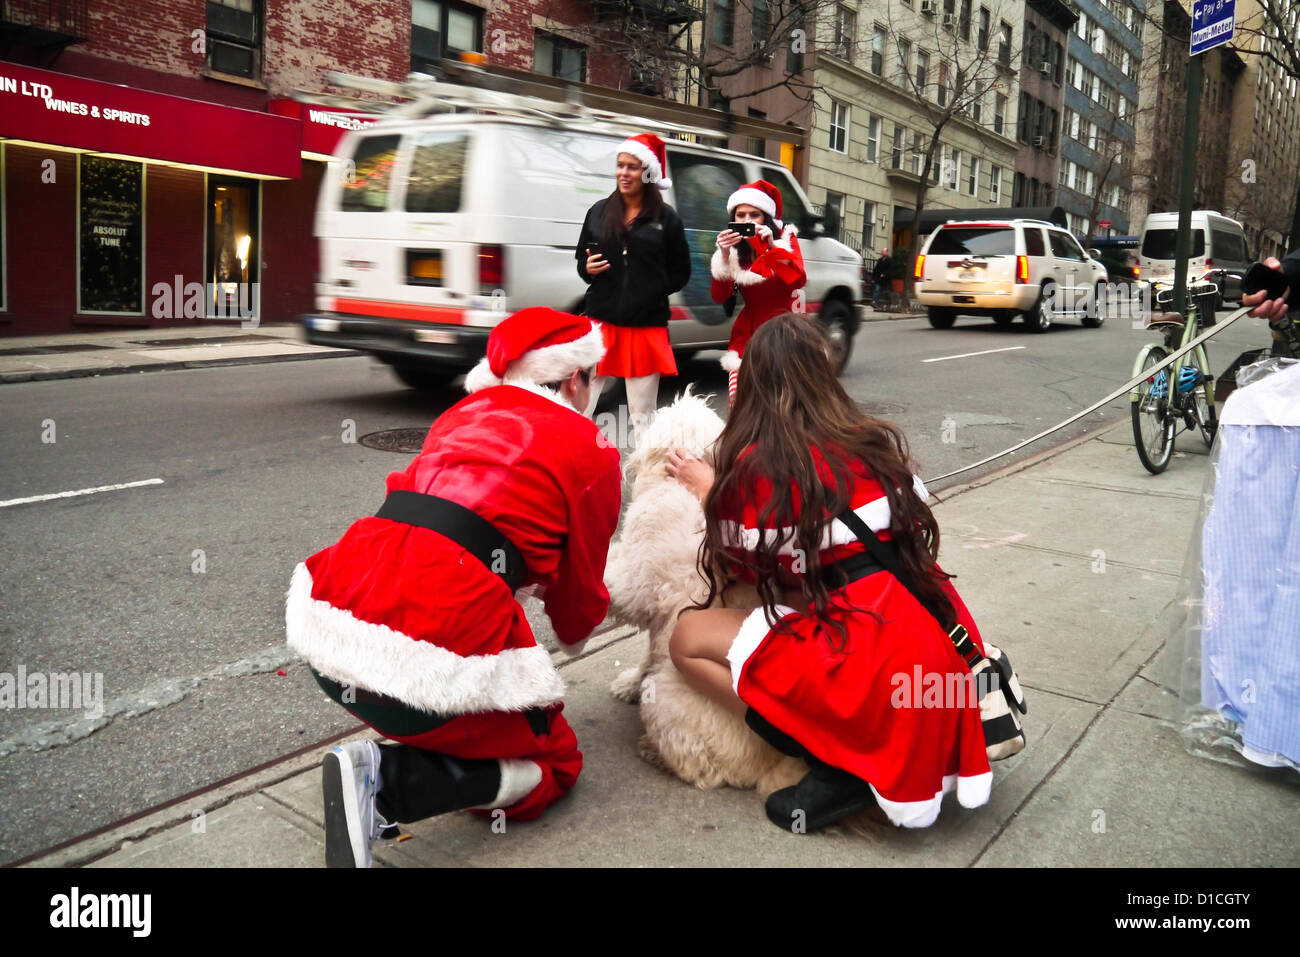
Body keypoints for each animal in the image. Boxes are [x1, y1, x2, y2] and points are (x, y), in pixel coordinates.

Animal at [603, 392, 806, 795]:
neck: (680, 483)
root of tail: (770, 763)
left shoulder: (635, 579)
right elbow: (648, 653)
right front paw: (630, 682)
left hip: (666, 698)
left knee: (700, 768)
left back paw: (654, 752)